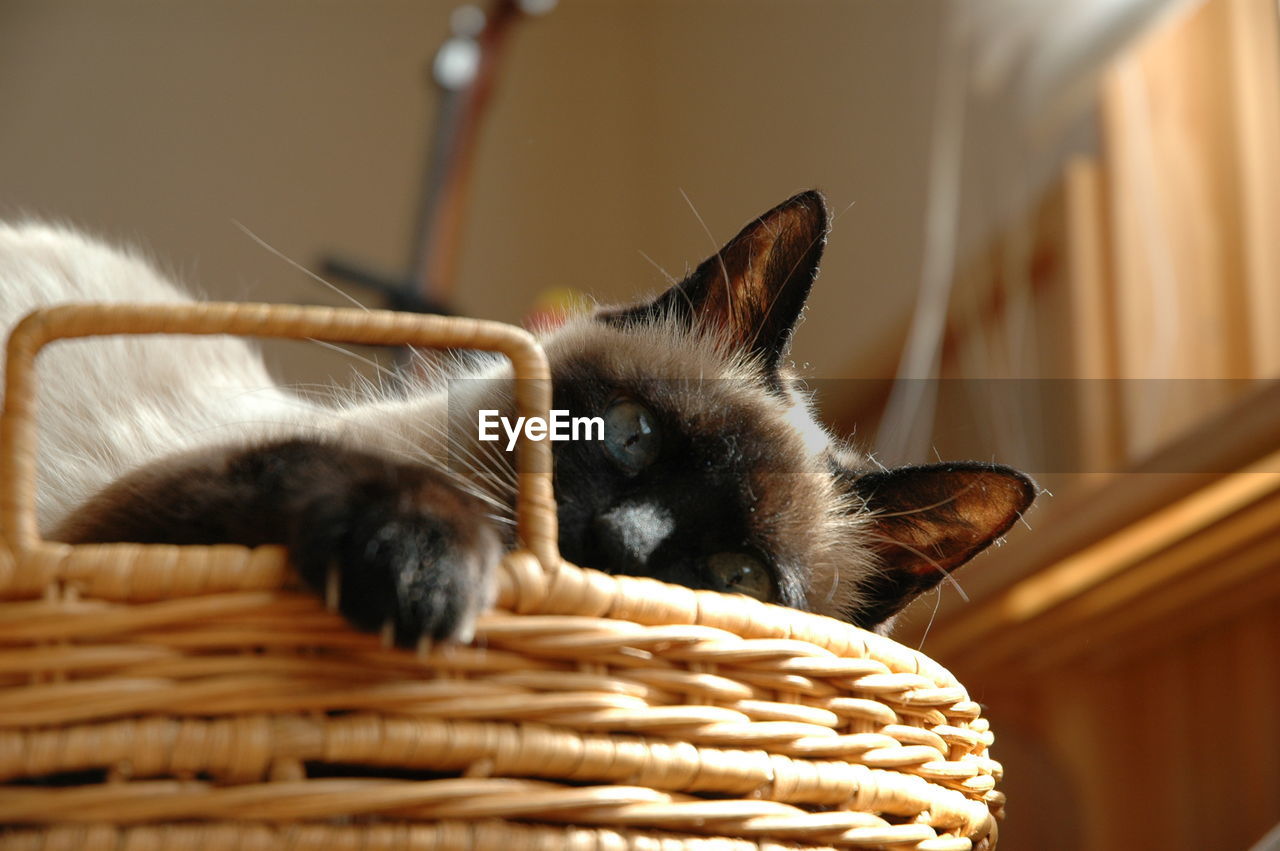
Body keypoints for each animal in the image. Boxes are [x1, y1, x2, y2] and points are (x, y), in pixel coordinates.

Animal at [0, 194, 1039, 644]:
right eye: (632, 433)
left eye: (739, 574)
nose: (621, 541)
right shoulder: (93, 531)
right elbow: (307, 460)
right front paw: (424, 580)